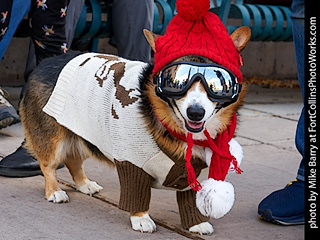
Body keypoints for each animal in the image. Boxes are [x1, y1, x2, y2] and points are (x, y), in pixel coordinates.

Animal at [19, 26, 250, 234]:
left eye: (219, 83)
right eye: (176, 80)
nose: (195, 113)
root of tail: (44, 63)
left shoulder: (194, 172)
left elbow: (190, 201)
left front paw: (197, 224)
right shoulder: (132, 163)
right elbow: (137, 195)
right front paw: (141, 219)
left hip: (84, 133)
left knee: (74, 160)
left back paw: (85, 184)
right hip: (53, 139)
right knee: (48, 165)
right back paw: (54, 192)